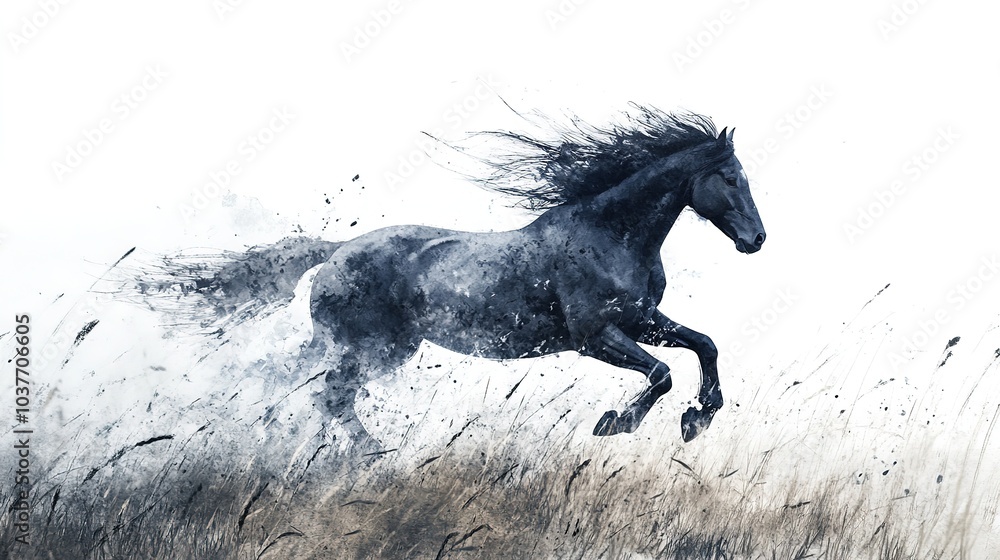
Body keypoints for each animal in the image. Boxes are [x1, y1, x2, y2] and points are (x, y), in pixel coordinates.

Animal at [135, 108, 765, 446]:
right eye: (732, 178)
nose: (756, 240)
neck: (609, 235)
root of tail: (338, 254)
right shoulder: (595, 337)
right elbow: (660, 373)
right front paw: (617, 423)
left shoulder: (641, 320)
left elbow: (703, 345)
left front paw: (698, 418)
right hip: (363, 347)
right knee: (324, 395)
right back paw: (370, 457)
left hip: (375, 348)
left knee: (303, 386)